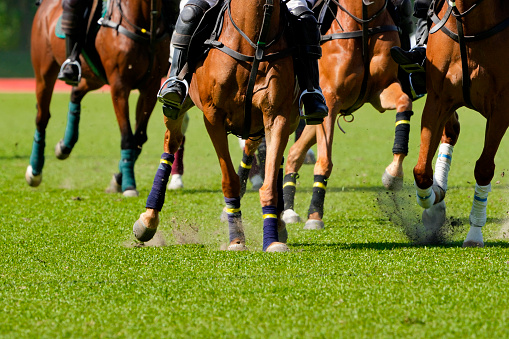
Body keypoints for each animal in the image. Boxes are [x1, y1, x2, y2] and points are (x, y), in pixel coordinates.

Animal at [25, 0, 175, 197]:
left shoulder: (150, 86)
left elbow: (139, 138)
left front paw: (118, 180)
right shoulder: (119, 86)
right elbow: (127, 137)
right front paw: (129, 185)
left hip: (93, 77)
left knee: (75, 93)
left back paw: (65, 146)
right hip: (44, 73)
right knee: (42, 118)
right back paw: (34, 171)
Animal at [133, 0, 300, 252]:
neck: (254, 42)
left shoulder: (277, 116)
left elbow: (270, 182)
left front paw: (271, 240)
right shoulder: (213, 117)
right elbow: (229, 180)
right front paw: (237, 239)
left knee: (274, 161)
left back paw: (279, 225)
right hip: (177, 105)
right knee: (170, 144)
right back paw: (148, 219)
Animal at [280, 0, 414, 230]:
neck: (364, 22)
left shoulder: (381, 90)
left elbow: (404, 104)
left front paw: (394, 175)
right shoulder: (330, 100)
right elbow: (324, 161)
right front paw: (315, 216)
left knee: (294, 152)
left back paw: (288, 210)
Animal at [412, 0, 508, 247]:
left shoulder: (501, 107)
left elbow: (484, 168)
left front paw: (474, 234)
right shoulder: (438, 100)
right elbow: (421, 171)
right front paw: (434, 208)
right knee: (451, 133)